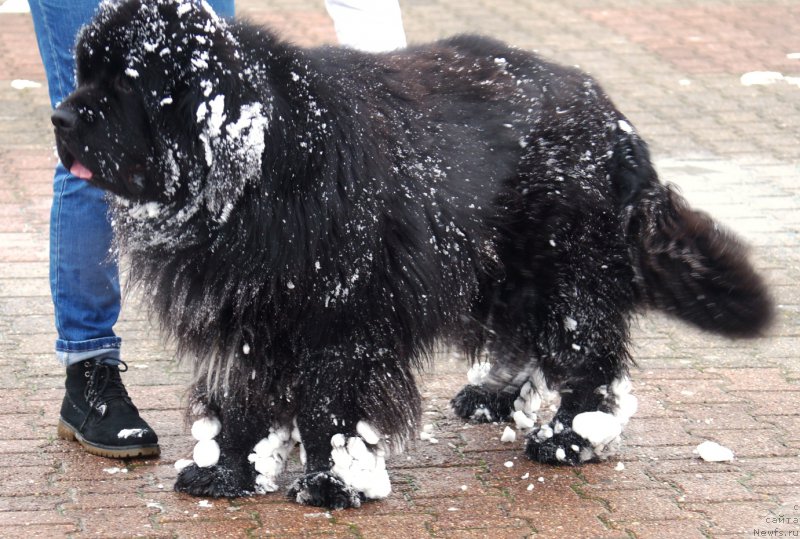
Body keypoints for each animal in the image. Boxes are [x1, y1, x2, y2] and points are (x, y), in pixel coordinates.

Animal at [48, 0, 768, 508]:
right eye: (84, 72)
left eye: (127, 84)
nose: (60, 116)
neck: (258, 171)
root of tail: (612, 118)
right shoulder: (246, 313)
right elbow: (241, 396)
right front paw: (228, 472)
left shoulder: (338, 312)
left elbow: (328, 402)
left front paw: (334, 482)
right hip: (499, 266)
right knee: (519, 334)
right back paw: (492, 396)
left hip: (564, 267)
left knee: (586, 350)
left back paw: (570, 437)